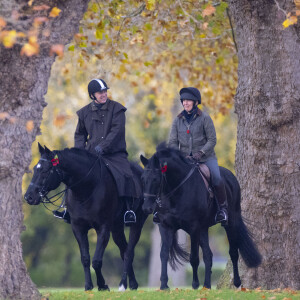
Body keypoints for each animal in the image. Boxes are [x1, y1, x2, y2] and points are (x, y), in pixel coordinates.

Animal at [24, 143, 148, 290]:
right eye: (34, 169)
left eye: (46, 171)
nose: (29, 197)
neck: (87, 189)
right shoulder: (78, 228)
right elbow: (85, 258)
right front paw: (88, 286)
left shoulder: (103, 228)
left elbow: (96, 261)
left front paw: (102, 285)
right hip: (117, 228)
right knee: (124, 250)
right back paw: (132, 283)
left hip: (137, 223)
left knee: (129, 252)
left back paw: (125, 284)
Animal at [140, 144, 260, 290]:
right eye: (142, 179)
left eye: (156, 179)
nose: (146, 208)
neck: (177, 190)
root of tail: (231, 176)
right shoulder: (165, 226)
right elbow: (163, 254)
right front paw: (164, 285)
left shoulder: (193, 228)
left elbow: (194, 257)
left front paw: (195, 285)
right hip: (203, 228)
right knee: (208, 255)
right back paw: (207, 285)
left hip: (231, 223)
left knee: (233, 252)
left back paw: (236, 283)